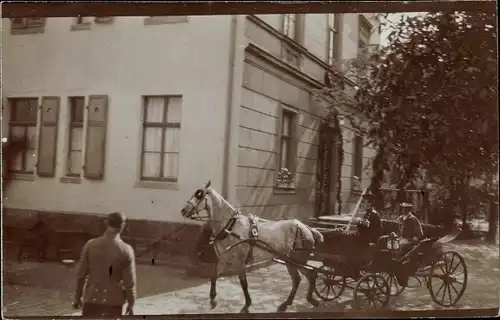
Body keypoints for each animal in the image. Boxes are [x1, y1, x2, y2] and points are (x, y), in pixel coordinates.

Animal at [180, 180, 324, 312]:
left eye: (199, 195)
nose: (183, 210)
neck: (230, 227)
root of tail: (306, 227)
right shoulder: (223, 260)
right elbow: (214, 276)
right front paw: (212, 297)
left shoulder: (239, 262)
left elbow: (244, 283)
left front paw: (248, 303)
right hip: (289, 261)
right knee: (298, 279)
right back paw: (289, 302)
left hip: (298, 259)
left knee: (309, 275)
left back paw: (309, 299)